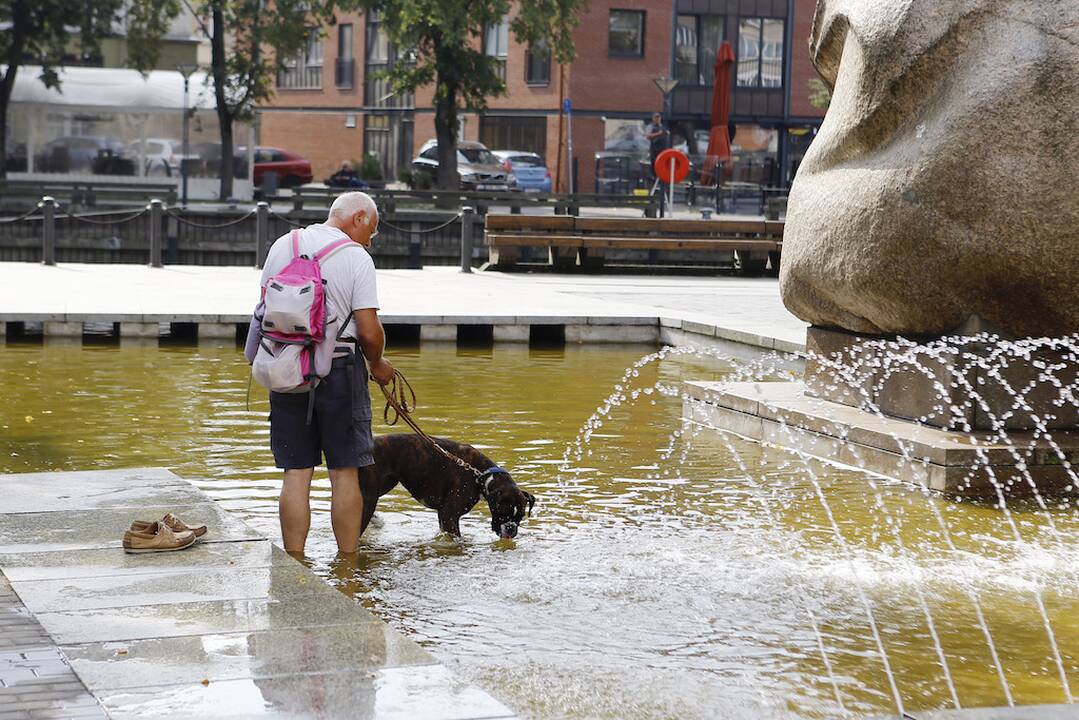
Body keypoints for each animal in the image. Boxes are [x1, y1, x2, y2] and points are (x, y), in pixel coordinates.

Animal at [364, 433, 537, 539]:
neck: (480, 474)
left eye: (520, 517)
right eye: (503, 513)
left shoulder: (444, 517)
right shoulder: (450, 516)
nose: (511, 529)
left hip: (387, 482)